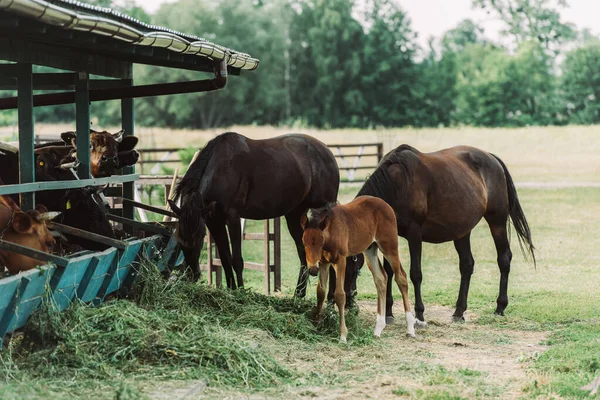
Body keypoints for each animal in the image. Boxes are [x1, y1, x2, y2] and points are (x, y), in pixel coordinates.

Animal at [169, 131, 340, 290]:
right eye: (179, 238)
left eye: (200, 235)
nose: (193, 274)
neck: (220, 169)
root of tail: (327, 152)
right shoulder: (214, 221)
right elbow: (225, 259)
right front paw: (231, 289)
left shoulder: (233, 217)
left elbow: (236, 260)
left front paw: (241, 291)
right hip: (294, 215)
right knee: (303, 254)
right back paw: (298, 295)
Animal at [300, 195, 422, 342]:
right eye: (304, 242)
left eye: (321, 242)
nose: (312, 270)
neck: (331, 230)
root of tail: (386, 205)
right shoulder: (324, 263)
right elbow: (320, 292)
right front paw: (316, 325)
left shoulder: (340, 260)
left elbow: (340, 294)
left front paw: (343, 335)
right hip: (370, 250)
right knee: (381, 279)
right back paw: (378, 329)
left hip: (389, 247)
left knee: (401, 277)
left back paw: (410, 328)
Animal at [346, 144, 536, 324]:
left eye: (353, 266)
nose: (347, 303)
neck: (396, 184)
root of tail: (492, 158)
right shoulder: (388, 235)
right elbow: (390, 271)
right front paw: (388, 313)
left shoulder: (415, 234)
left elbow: (416, 273)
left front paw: (419, 314)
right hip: (462, 231)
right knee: (467, 265)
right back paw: (459, 311)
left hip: (497, 222)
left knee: (504, 259)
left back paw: (500, 306)